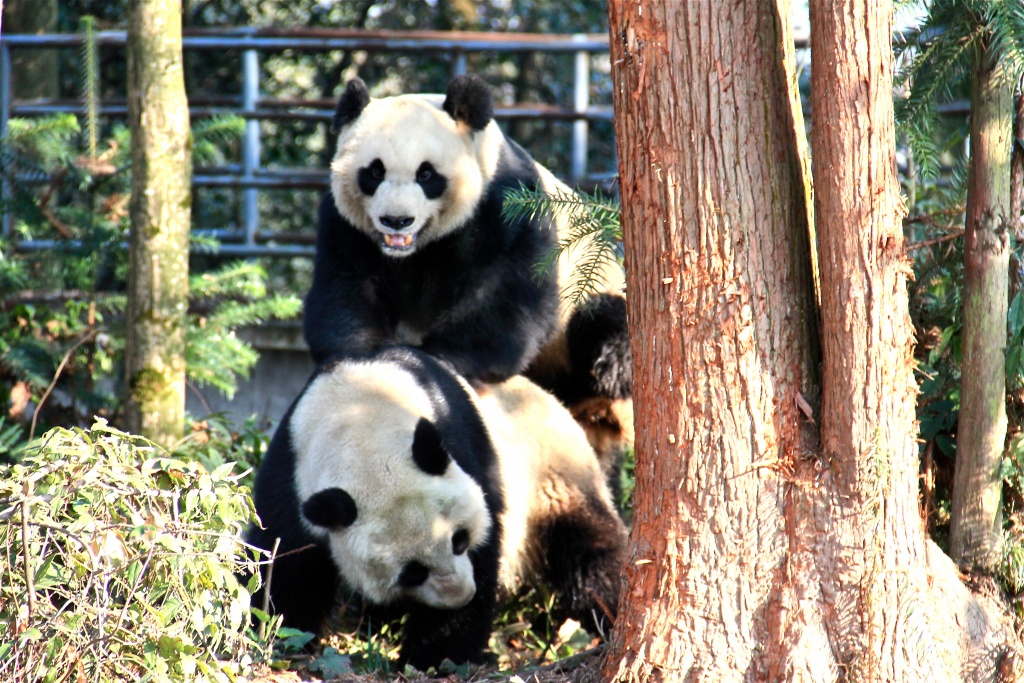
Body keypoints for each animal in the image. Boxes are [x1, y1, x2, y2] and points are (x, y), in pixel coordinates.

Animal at [249, 348, 630, 667]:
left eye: (459, 539)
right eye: (412, 572)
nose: (460, 596)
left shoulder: (464, 449)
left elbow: (487, 545)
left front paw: (434, 656)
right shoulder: (292, 473)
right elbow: (284, 563)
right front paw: (284, 636)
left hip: (552, 475)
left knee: (588, 552)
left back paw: (609, 613)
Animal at [299, 73, 630, 475]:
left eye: (426, 174)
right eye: (374, 171)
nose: (396, 220)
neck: (415, 249)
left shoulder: (506, 208)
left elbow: (506, 301)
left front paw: (437, 361)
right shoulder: (347, 226)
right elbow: (344, 293)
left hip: (588, 312)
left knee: (605, 327)